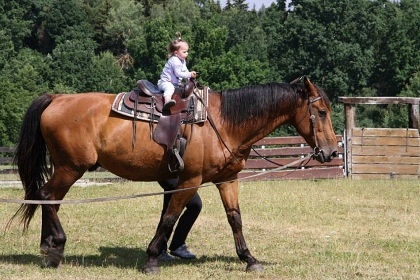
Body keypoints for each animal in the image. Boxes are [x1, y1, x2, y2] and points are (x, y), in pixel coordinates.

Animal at [11, 76, 338, 274]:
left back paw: (48, 246)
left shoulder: (227, 179)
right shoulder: (189, 181)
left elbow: (235, 218)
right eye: (321, 112)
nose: (332, 152)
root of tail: (57, 98)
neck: (223, 122)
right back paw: (55, 248)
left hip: (68, 168)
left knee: (48, 199)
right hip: (70, 168)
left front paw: (249, 259)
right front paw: (152, 258)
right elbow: (169, 218)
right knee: (47, 196)